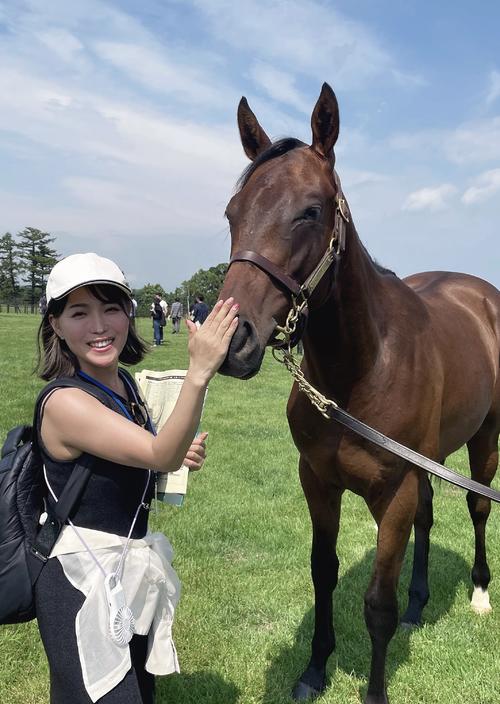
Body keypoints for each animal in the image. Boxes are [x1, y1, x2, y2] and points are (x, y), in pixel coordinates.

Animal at [218, 83, 500, 704]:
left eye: (310, 210)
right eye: (232, 212)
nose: (232, 342)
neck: (359, 373)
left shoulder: (391, 494)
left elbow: (376, 605)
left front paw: (373, 691)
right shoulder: (319, 481)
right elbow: (323, 572)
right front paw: (314, 668)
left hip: (485, 439)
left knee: (475, 506)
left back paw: (478, 593)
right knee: (428, 516)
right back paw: (421, 604)